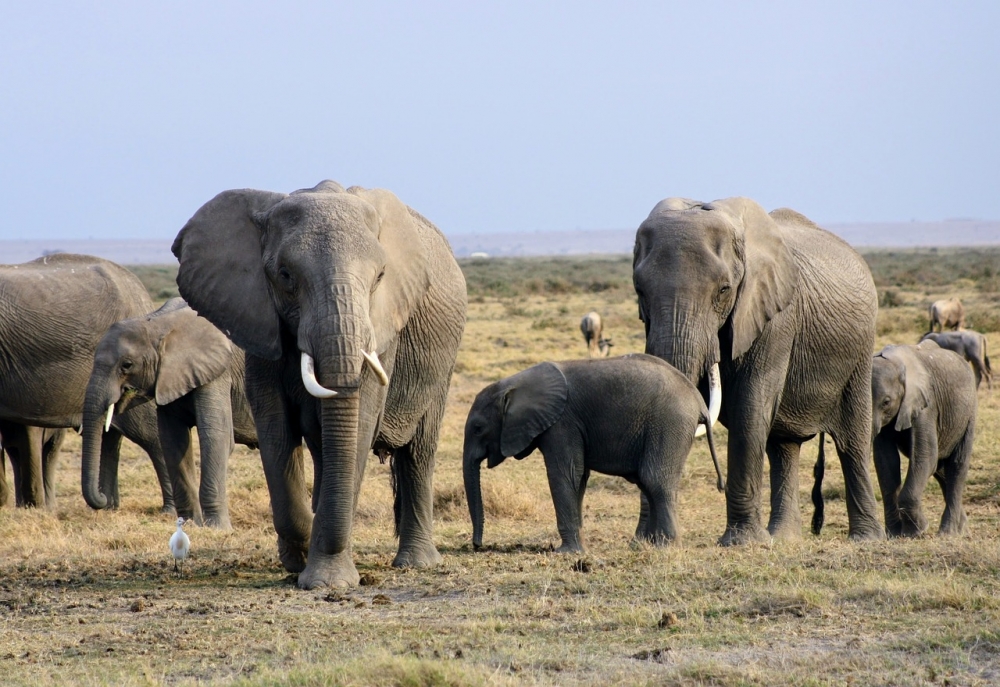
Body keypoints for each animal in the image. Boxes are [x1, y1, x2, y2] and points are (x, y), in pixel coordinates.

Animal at [81, 298, 257, 528]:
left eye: (127, 365)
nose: (102, 499)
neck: (158, 323)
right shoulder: (168, 378)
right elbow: (173, 440)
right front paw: (188, 524)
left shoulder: (217, 371)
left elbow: (215, 436)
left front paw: (217, 528)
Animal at [172, 180, 467, 589]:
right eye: (285, 275)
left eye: (380, 277)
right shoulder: (258, 320)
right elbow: (275, 427)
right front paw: (298, 558)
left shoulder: (383, 326)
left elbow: (359, 425)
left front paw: (328, 580)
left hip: (443, 362)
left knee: (419, 452)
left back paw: (416, 563)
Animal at [463, 354, 724, 552]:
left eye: (478, 428)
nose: (477, 545)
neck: (514, 383)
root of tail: (699, 403)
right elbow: (579, 479)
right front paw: (578, 550)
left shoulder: (562, 423)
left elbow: (565, 475)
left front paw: (566, 553)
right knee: (648, 484)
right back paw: (650, 546)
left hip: (669, 425)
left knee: (655, 480)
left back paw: (665, 547)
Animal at [632, 197, 883, 545]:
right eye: (640, 291)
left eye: (724, 290)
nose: (650, 539)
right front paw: (646, 541)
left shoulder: (774, 316)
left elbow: (750, 410)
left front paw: (741, 543)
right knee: (783, 446)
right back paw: (785, 539)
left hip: (859, 352)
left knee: (852, 442)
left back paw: (866, 539)